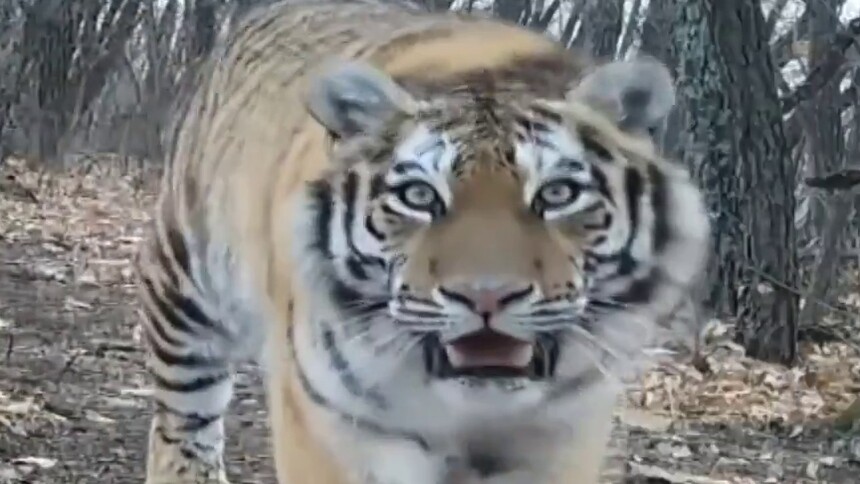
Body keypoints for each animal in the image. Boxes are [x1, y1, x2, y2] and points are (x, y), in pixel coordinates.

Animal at [135, 1, 711, 483]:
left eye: (558, 193)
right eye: (418, 195)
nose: (486, 296)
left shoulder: (565, 434)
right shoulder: (330, 429)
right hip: (186, 295)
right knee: (182, 427)